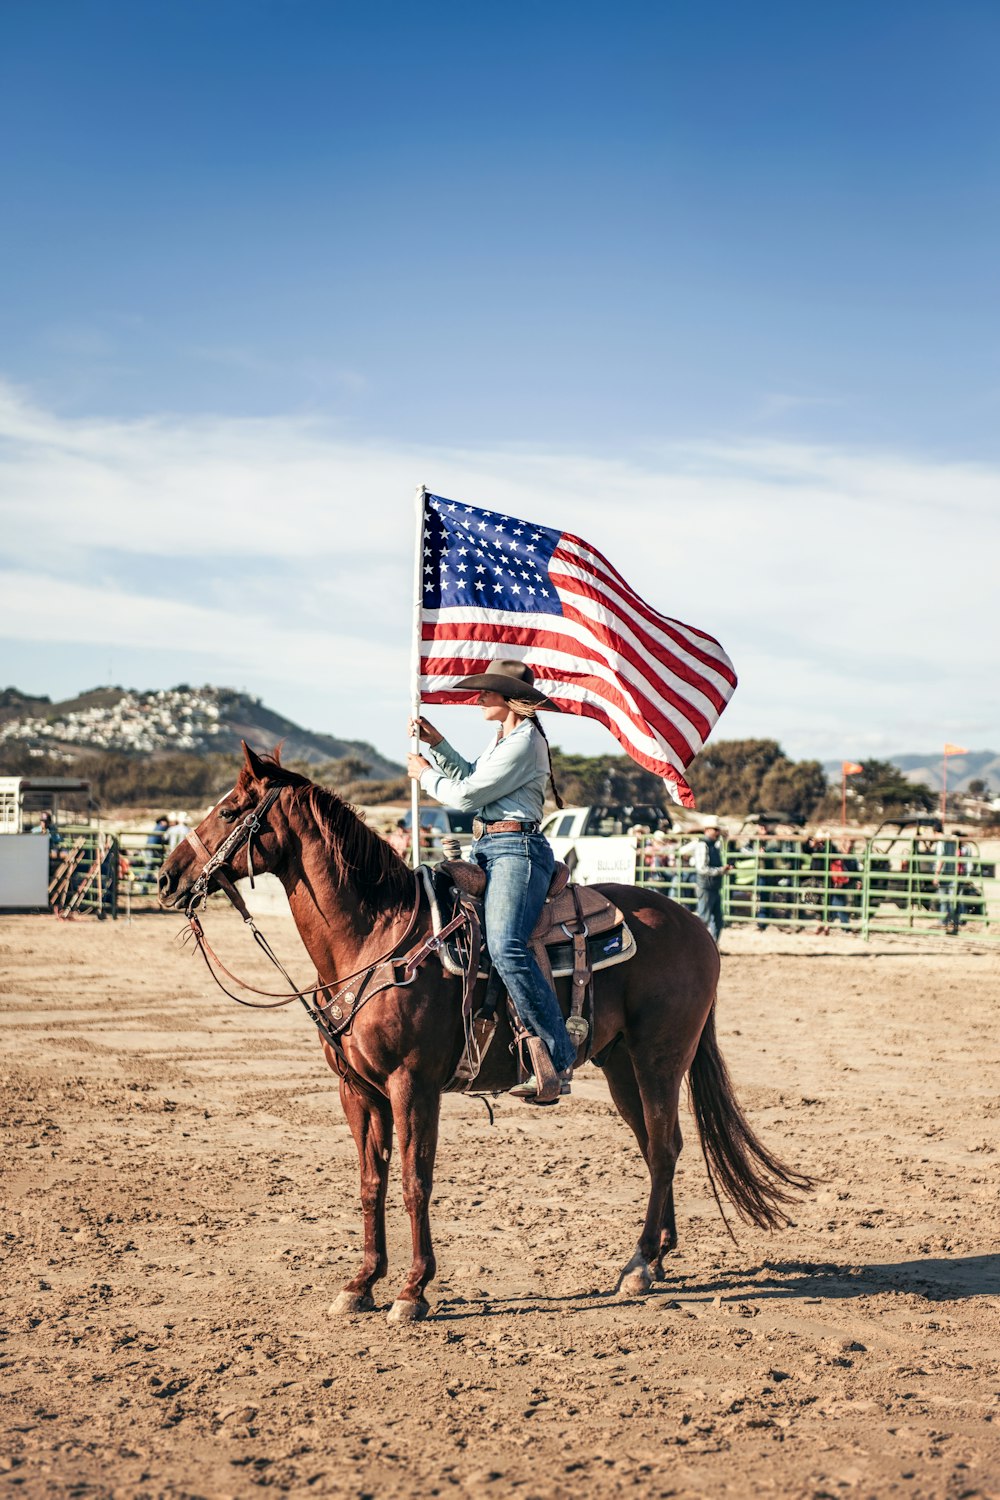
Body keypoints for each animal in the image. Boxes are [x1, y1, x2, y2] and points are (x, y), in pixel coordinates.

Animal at [158, 744, 815, 1320]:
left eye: (231, 811)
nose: (167, 879)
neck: (376, 937)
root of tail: (695, 926)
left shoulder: (413, 1085)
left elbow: (414, 1181)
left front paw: (412, 1291)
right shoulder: (357, 1090)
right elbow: (371, 1181)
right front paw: (361, 1283)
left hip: (660, 1058)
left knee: (663, 1146)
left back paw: (636, 1266)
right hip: (622, 1064)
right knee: (660, 1146)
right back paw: (655, 1258)